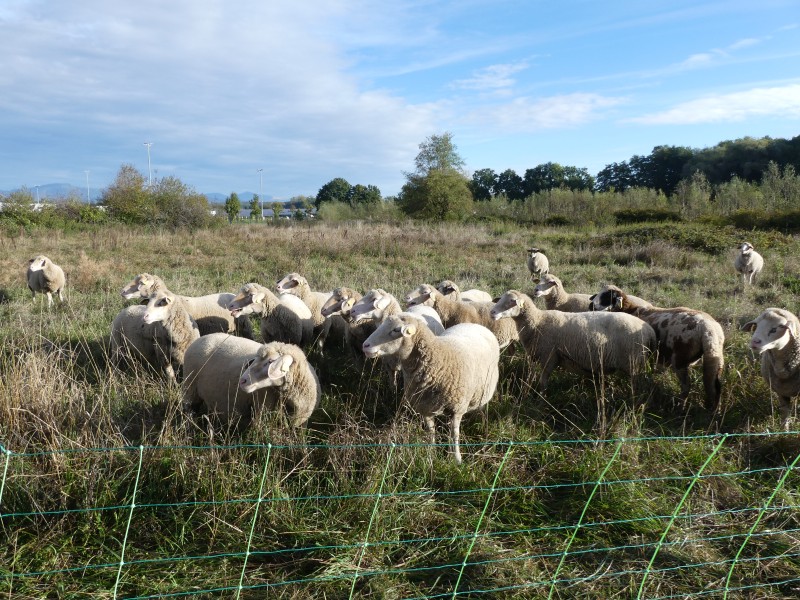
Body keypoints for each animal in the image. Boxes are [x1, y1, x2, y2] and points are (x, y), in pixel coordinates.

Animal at [362, 314, 500, 464]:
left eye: (396, 329)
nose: (365, 345)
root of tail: (474, 325)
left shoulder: (457, 408)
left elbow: (454, 434)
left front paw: (457, 459)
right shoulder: (425, 407)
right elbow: (431, 432)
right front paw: (431, 455)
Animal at [491, 290, 656, 395]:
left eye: (512, 302)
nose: (492, 312)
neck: (537, 321)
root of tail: (649, 330)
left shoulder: (548, 357)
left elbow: (543, 381)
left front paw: (542, 398)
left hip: (633, 363)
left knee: (638, 385)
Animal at [589, 284, 724, 412]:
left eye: (608, 297)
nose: (591, 306)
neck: (629, 309)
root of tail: (708, 329)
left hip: (680, 360)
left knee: (686, 387)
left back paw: (680, 408)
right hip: (714, 355)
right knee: (716, 386)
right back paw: (714, 412)